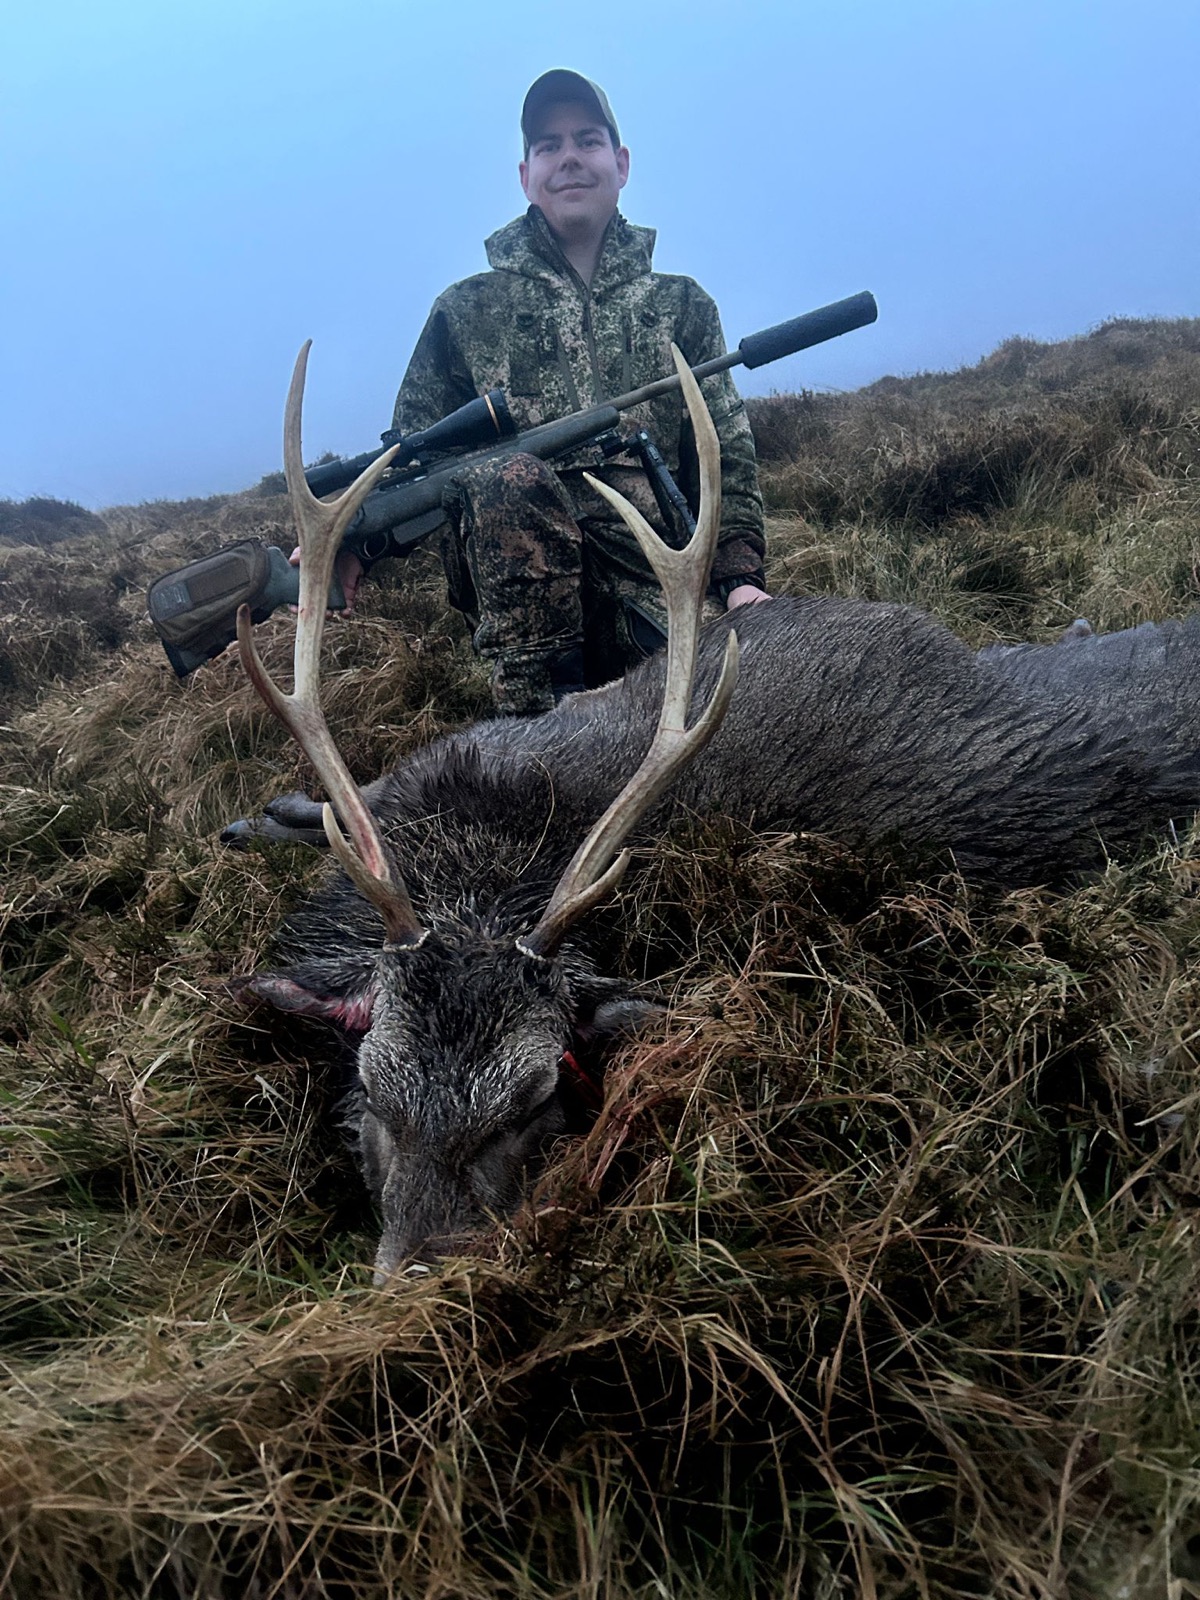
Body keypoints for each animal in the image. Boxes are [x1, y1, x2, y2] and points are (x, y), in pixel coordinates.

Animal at [230, 344, 1200, 1279]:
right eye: (372, 1085)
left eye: (539, 1096)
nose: (420, 1279)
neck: (486, 843)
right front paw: (277, 816)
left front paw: (275, 815)